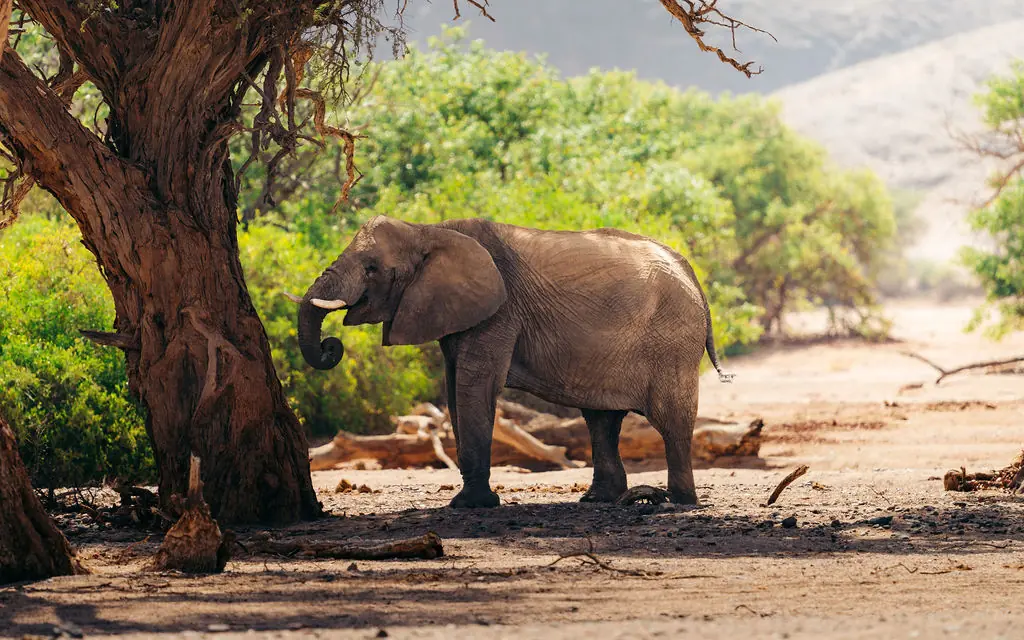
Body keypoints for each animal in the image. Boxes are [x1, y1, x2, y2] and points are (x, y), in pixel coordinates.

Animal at [285, 215, 733, 508]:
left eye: (373, 269)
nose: (331, 346)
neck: (429, 228)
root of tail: (690, 272)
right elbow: (453, 389)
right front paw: (473, 500)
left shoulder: (499, 313)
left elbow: (474, 386)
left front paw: (471, 505)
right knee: (600, 419)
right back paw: (597, 499)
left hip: (672, 339)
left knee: (671, 420)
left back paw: (677, 502)